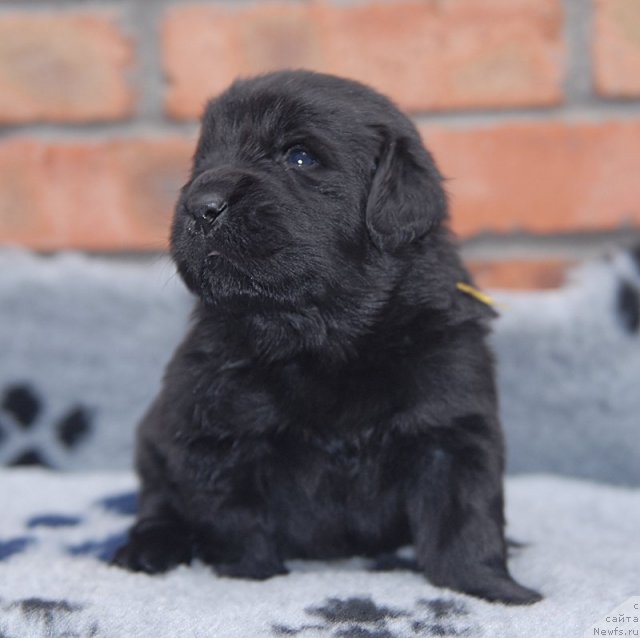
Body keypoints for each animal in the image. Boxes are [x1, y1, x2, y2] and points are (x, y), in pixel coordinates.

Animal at [114, 72, 540, 608]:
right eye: (203, 160)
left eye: (300, 157)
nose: (200, 205)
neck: (324, 338)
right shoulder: (215, 431)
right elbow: (237, 519)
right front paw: (250, 577)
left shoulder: (453, 423)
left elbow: (466, 519)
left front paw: (493, 589)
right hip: (152, 441)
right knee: (157, 503)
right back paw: (149, 547)